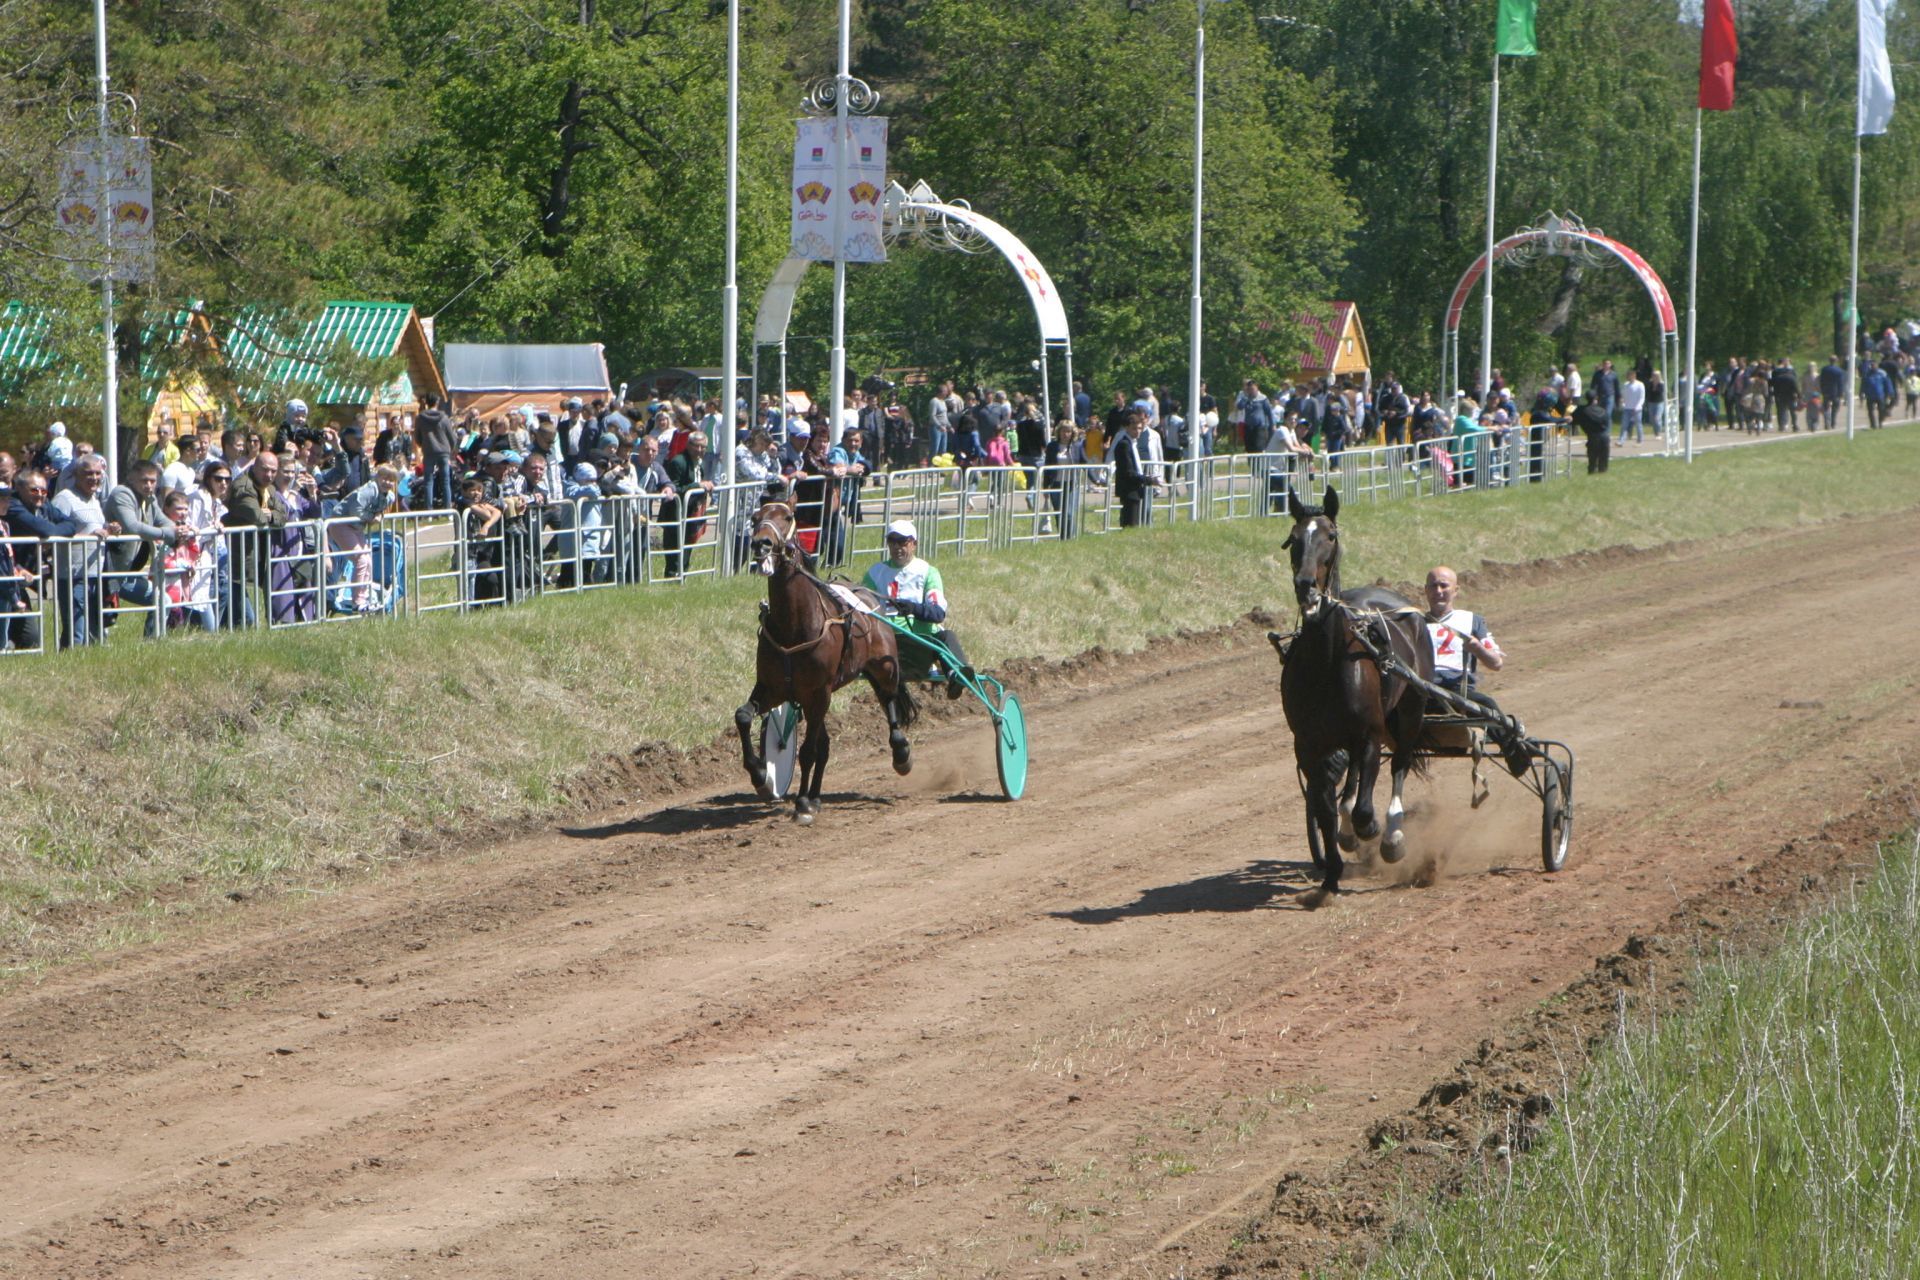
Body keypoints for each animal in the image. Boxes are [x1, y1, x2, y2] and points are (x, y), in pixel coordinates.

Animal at [733, 498, 913, 821]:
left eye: (787, 516)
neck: (794, 626)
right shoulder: (773, 688)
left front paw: (802, 803)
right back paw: (816, 795)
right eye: (755, 518)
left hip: (883, 667)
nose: (761, 543)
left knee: (889, 699)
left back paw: (901, 751)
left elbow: (807, 751)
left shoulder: (818, 692)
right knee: (826, 743)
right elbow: (742, 716)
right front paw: (760, 776)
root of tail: (867, 595)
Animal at [1274, 491, 1428, 901]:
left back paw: (1391, 837)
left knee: (1398, 765)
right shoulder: (1309, 745)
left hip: (1411, 711)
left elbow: (1364, 810)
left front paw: (1371, 830)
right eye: (1293, 538)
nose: (1306, 585)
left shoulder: (1370, 734)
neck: (1326, 660)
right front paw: (1331, 875)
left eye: (1330, 536)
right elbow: (1326, 809)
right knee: (1354, 780)